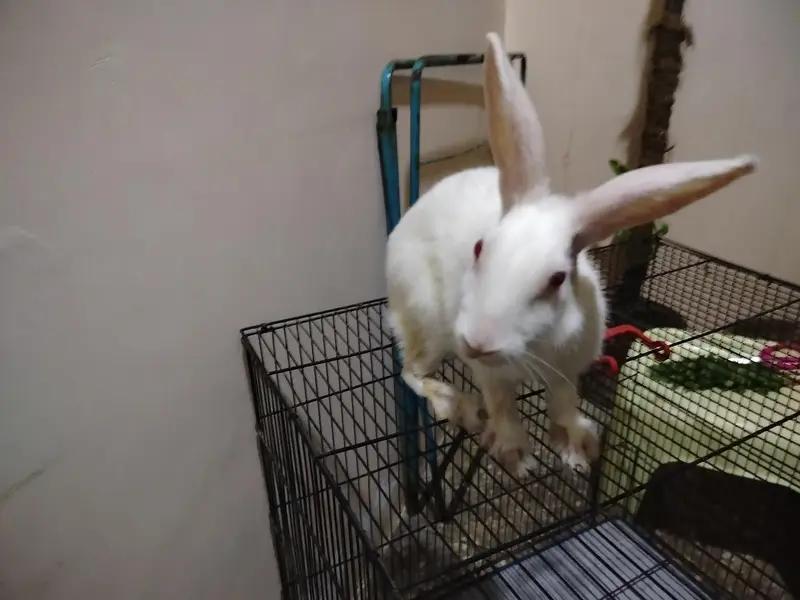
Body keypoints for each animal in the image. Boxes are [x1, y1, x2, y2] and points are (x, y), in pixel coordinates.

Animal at [385, 31, 758, 477]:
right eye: (479, 248)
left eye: (557, 278)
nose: (477, 342)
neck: (535, 348)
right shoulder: (490, 374)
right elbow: (502, 405)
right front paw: (517, 456)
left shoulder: (570, 368)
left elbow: (563, 402)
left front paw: (577, 449)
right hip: (426, 319)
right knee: (410, 369)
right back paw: (457, 405)